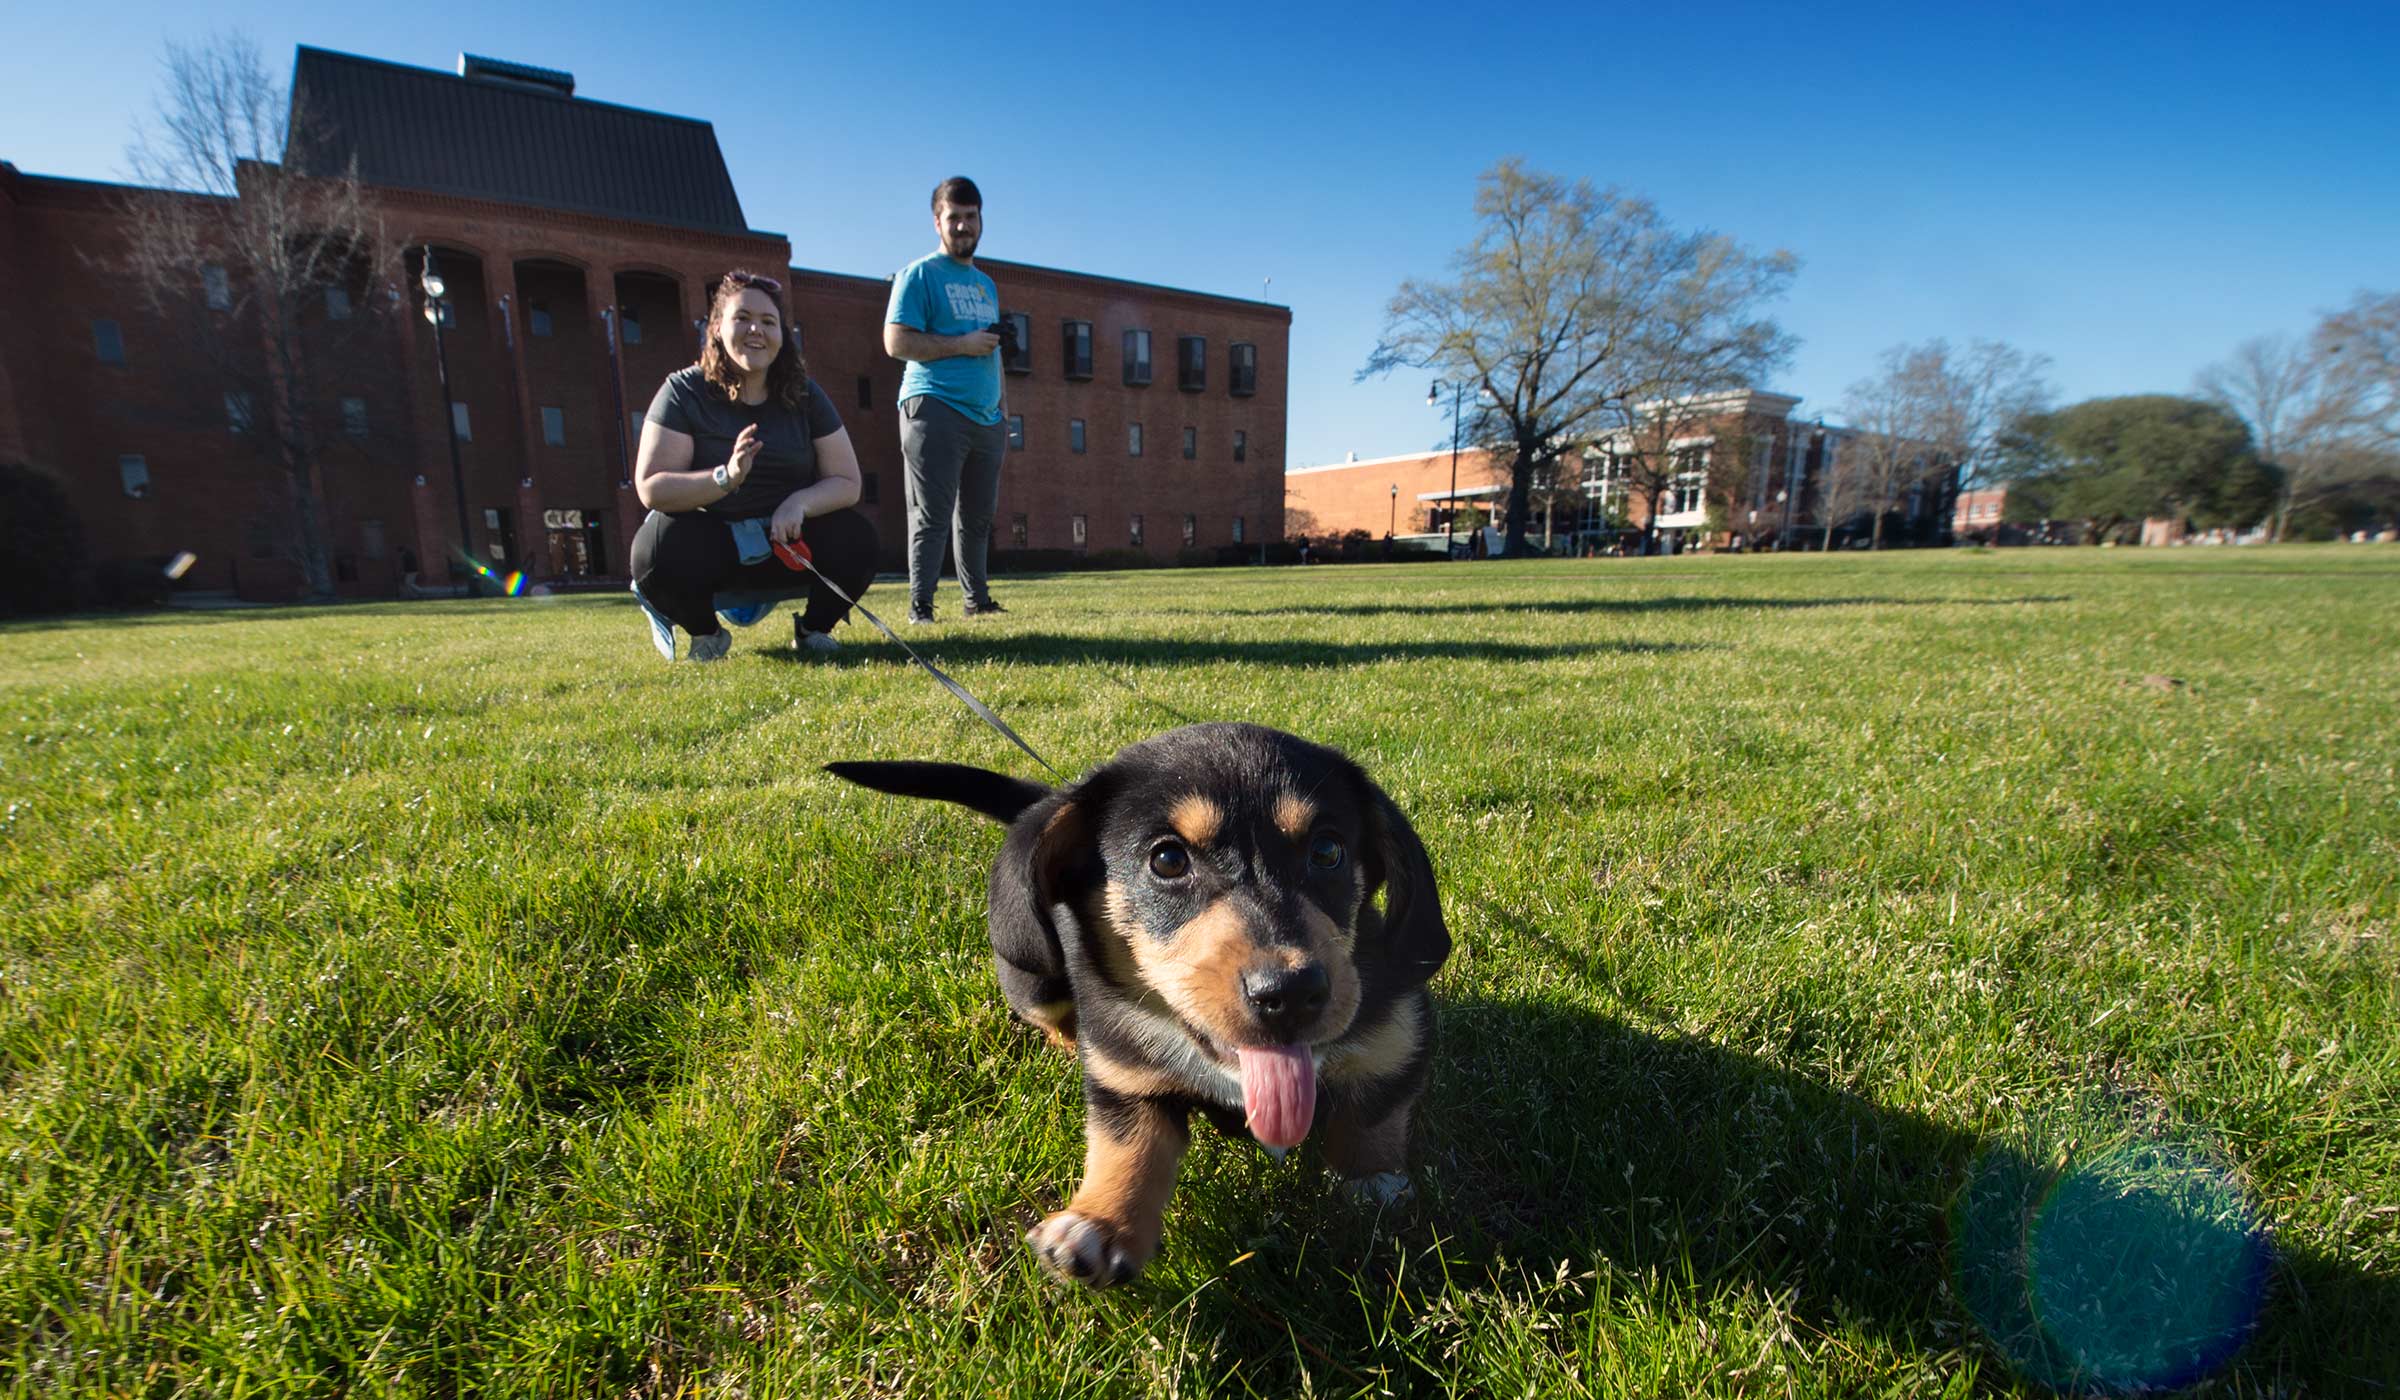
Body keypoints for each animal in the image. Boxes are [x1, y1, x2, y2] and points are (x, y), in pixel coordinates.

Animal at [825, 730, 1449, 1287]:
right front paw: (1101, 1223)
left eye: (1327, 851)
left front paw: (1373, 1184)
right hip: (1034, 980)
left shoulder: (1397, 1039)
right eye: (1168, 860)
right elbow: (1127, 1150)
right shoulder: (1126, 1079)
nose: (1290, 992)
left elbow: (1372, 1116)